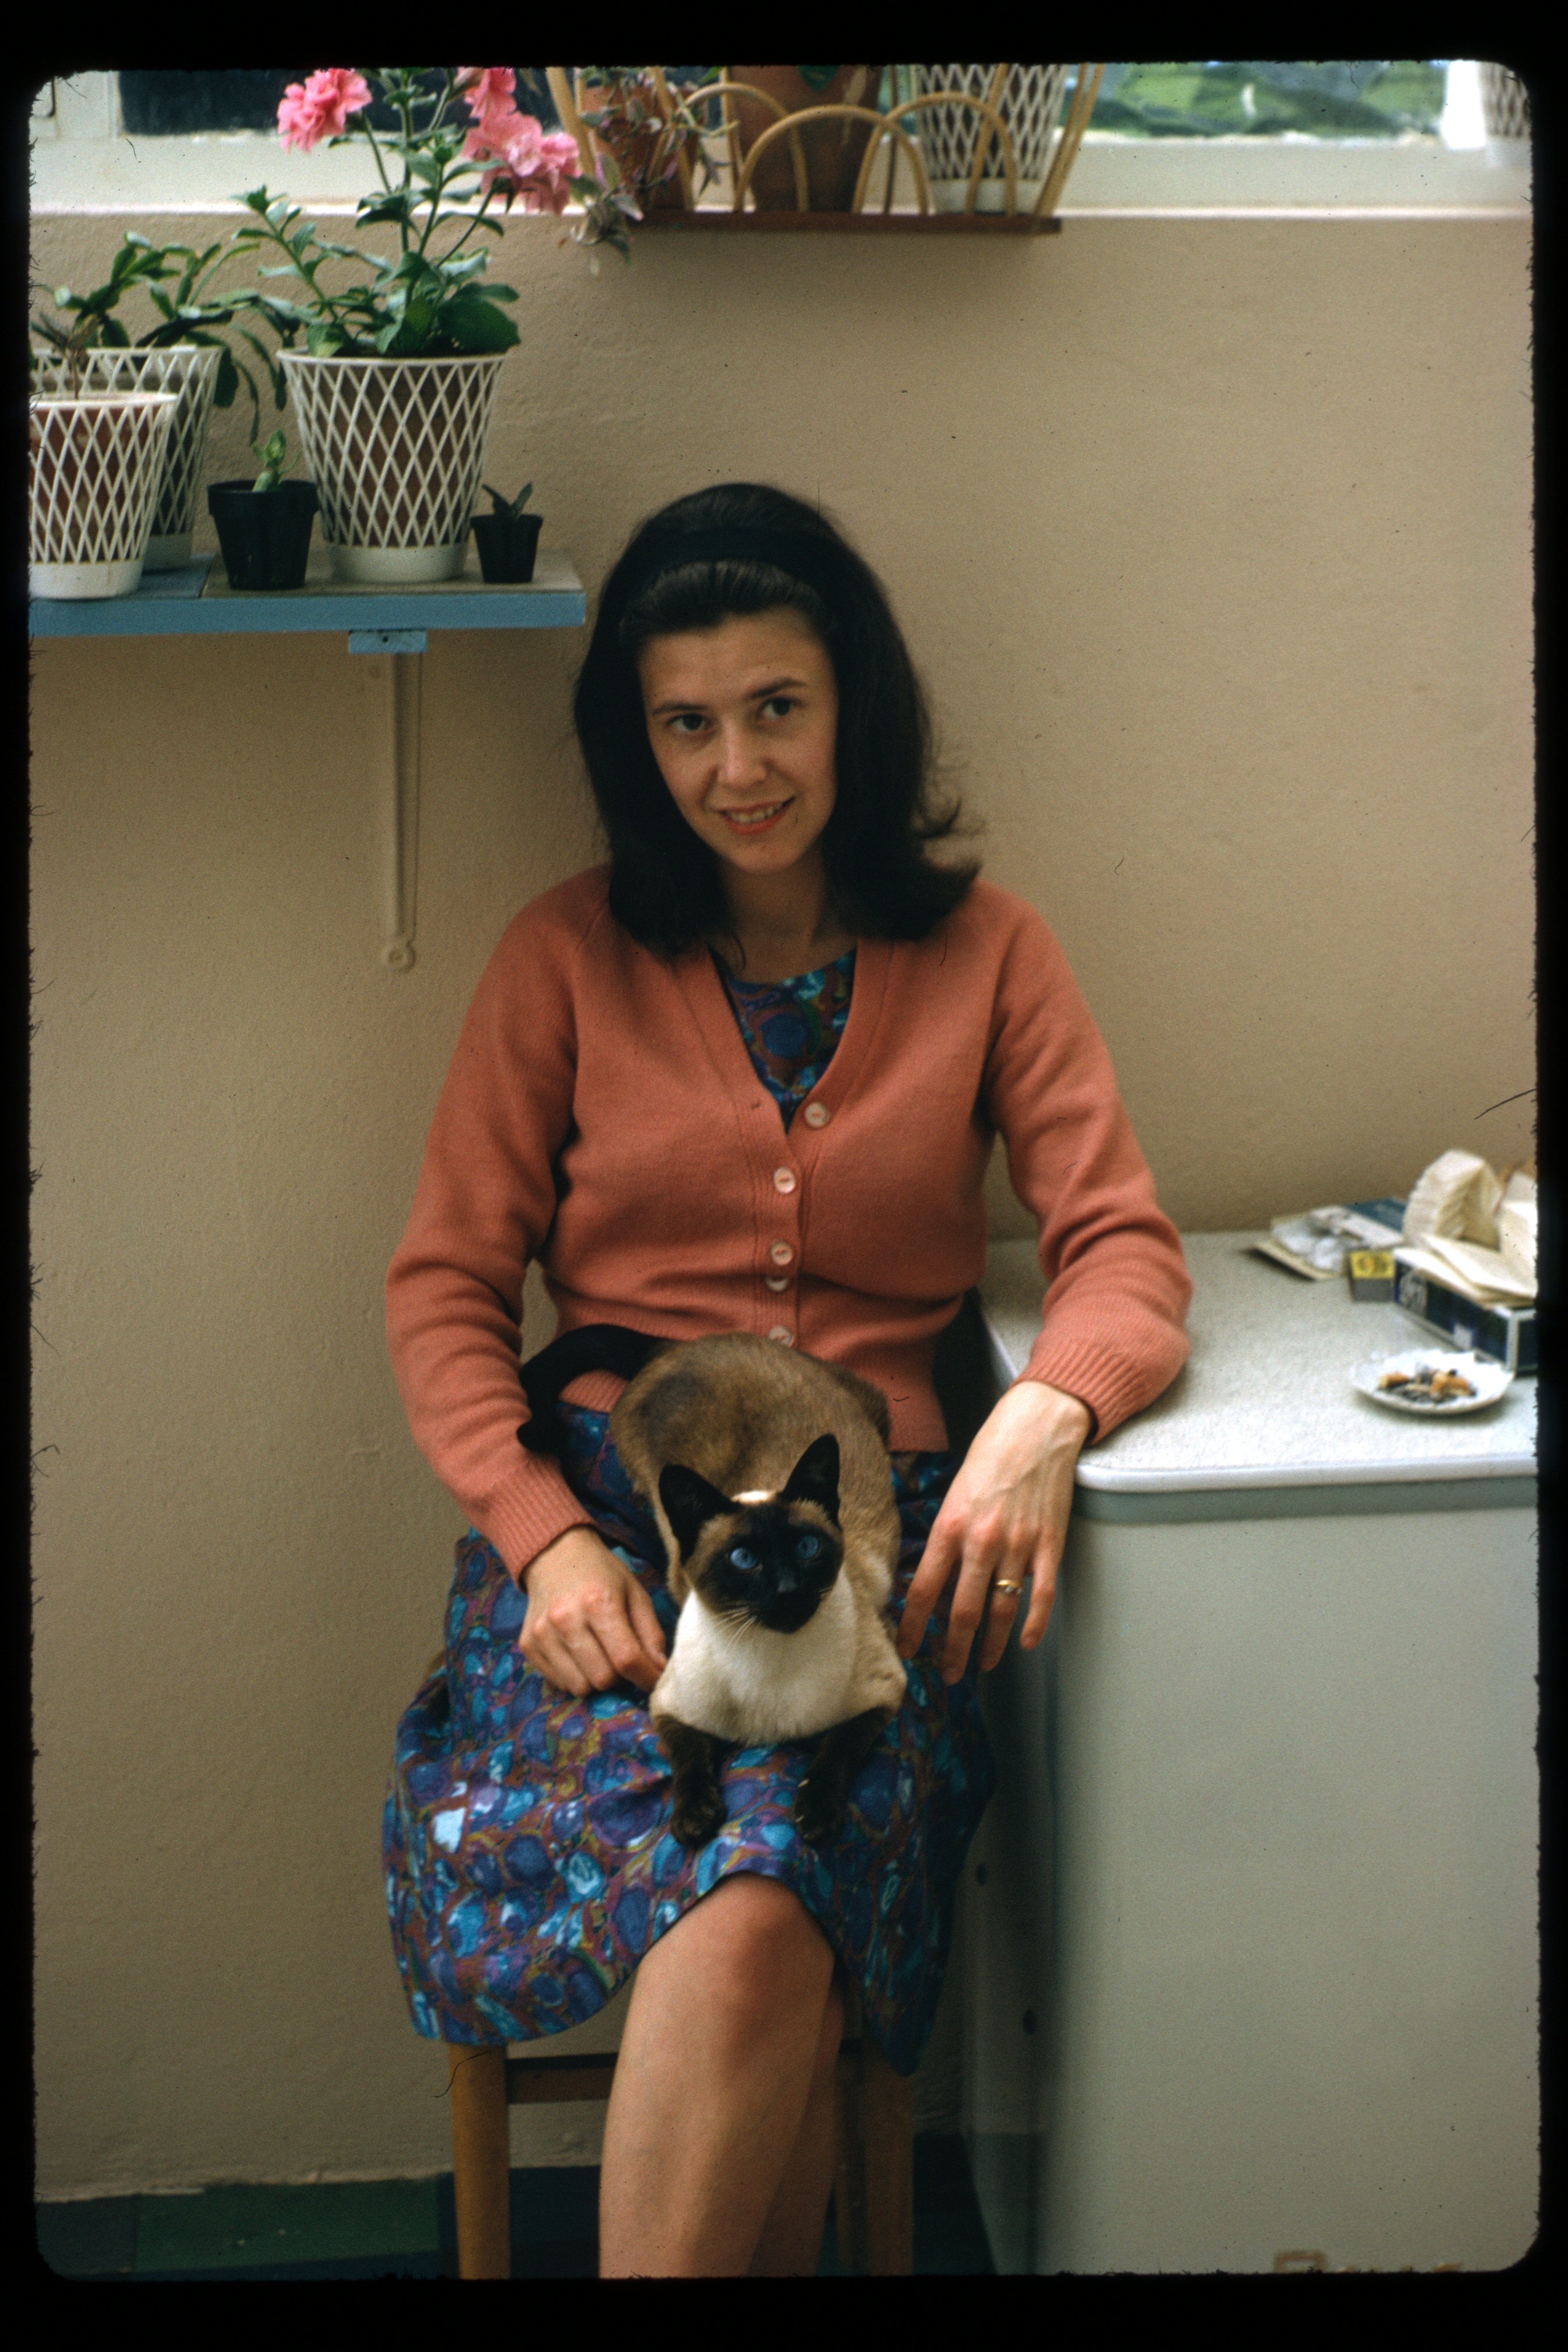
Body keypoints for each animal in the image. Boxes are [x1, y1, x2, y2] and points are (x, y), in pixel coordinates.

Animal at [517, 1326, 909, 1847]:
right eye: (744, 1560)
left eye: (807, 1548)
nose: (788, 1590)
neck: (767, 1664)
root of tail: (678, 1346)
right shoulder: (669, 1705)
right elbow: (689, 1758)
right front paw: (694, 1819)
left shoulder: (883, 1693)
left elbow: (837, 1750)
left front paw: (816, 1813)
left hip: (876, 1406)